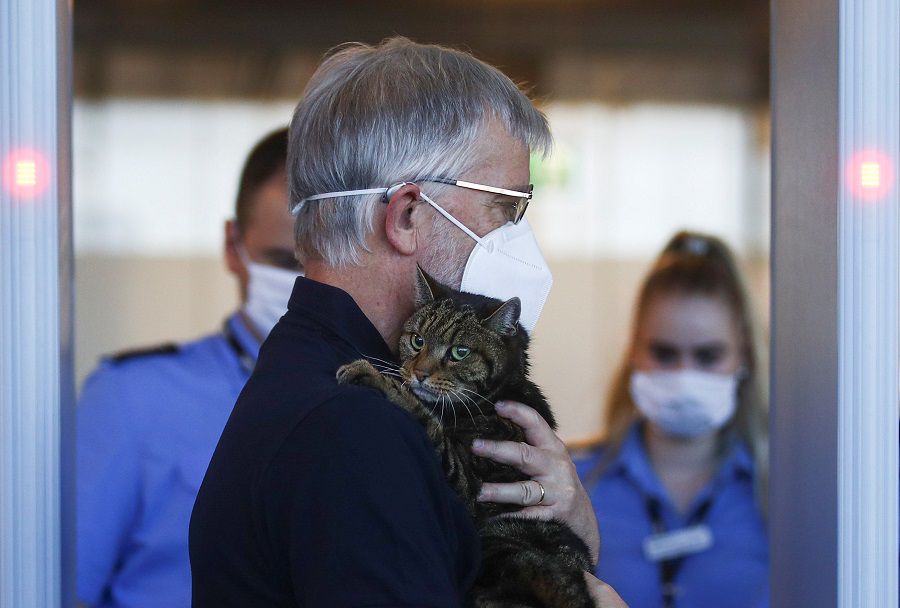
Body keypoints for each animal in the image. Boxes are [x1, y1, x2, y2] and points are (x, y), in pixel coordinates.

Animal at [334, 270, 596, 608]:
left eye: (460, 352)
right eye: (417, 341)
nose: (419, 374)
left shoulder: (471, 487)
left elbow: (425, 419)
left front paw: (376, 377)